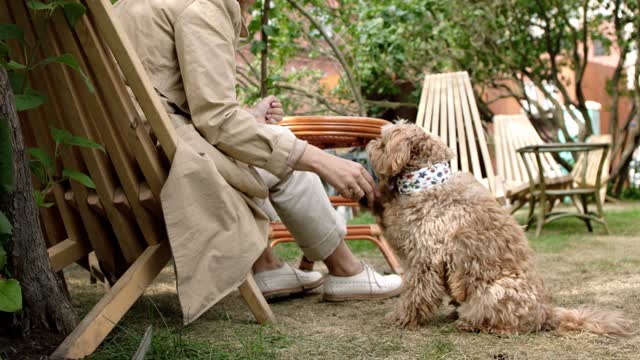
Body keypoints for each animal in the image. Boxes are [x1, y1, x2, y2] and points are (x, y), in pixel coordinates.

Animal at [368, 123, 632, 334]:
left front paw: (401, 318)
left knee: (503, 322)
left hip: (494, 292)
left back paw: (472, 324)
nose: (369, 144)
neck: (427, 180)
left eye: (382, 141)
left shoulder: (425, 258)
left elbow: (415, 294)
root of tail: (546, 312)